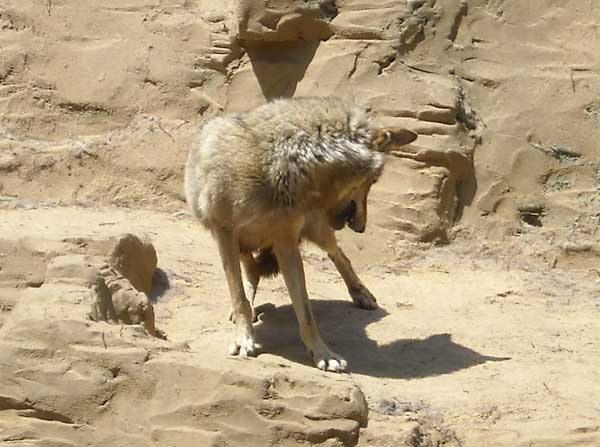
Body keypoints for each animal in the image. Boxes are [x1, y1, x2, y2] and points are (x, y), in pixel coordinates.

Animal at [184, 97, 417, 371]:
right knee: (251, 273)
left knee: (339, 254)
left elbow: (306, 312)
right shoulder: (225, 232)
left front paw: (323, 353)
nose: (361, 227)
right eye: (372, 182)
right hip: (240, 244)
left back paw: (361, 293)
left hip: (318, 231)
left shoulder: (286, 243)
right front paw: (244, 340)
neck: (277, 164)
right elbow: (238, 297)